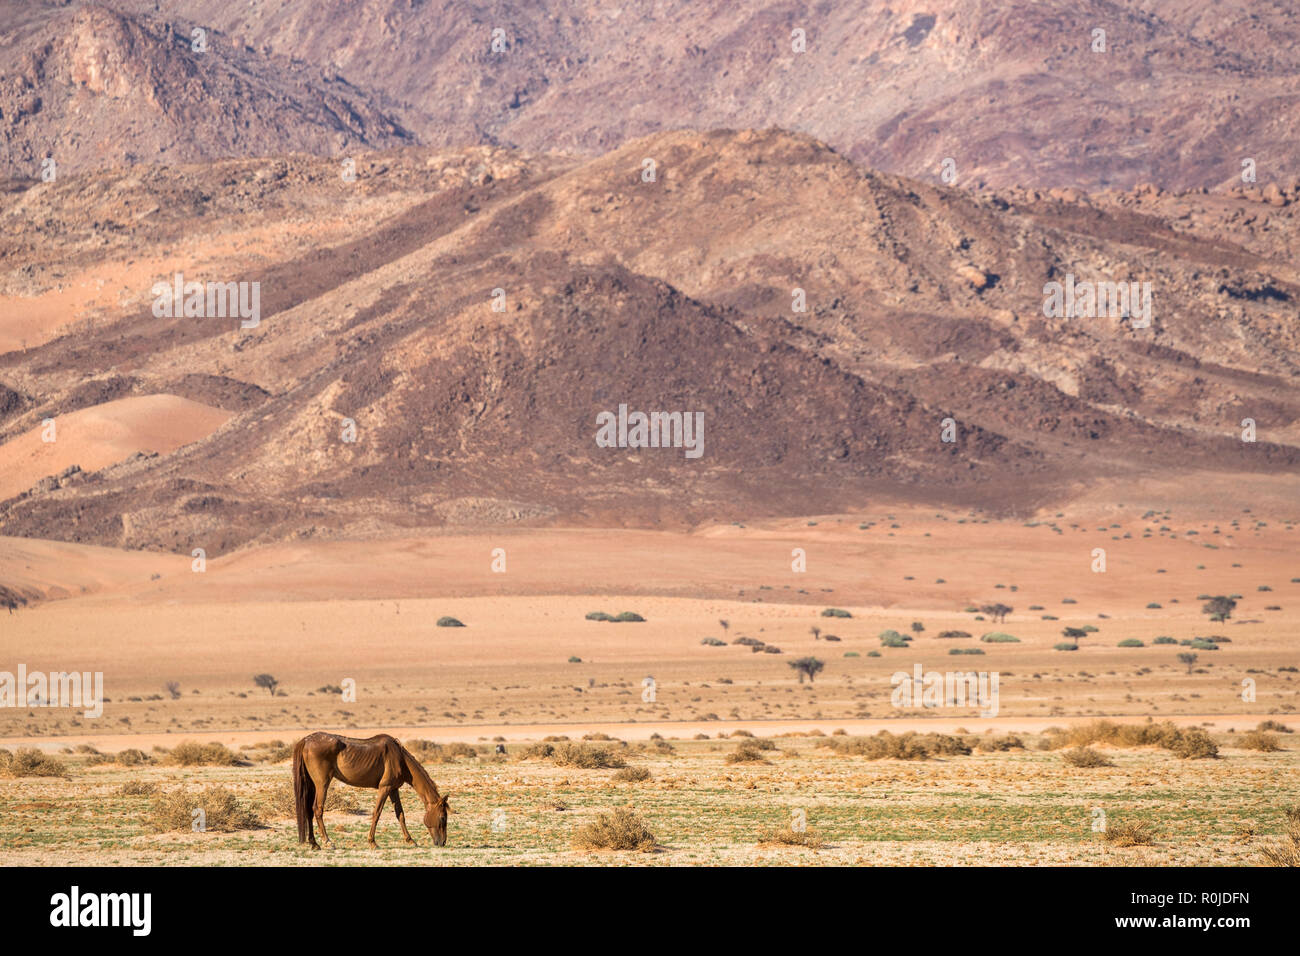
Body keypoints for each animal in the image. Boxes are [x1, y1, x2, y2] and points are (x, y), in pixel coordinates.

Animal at [292, 733, 454, 853]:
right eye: (442, 818)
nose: (442, 842)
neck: (400, 758)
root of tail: (306, 741)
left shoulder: (393, 789)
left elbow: (400, 815)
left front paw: (410, 840)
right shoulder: (385, 788)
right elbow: (377, 813)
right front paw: (372, 842)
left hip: (312, 784)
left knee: (308, 811)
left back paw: (314, 844)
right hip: (322, 784)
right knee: (317, 809)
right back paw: (327, 842)